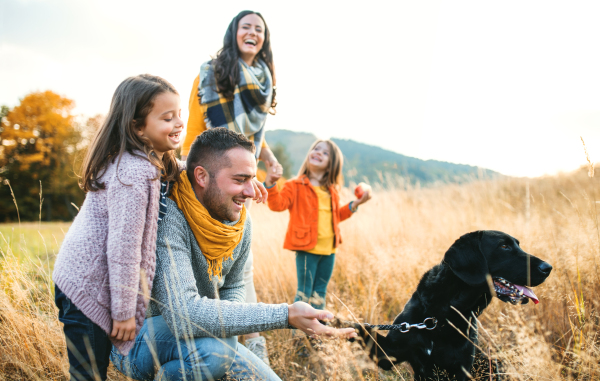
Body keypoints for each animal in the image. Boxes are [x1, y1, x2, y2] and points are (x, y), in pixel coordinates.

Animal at [354, 230, 552, 378]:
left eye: (517, 244)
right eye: (504, 246)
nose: (548, 268)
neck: (440, 317)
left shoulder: (460, 367)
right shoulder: (390, 352)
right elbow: (362, 329)